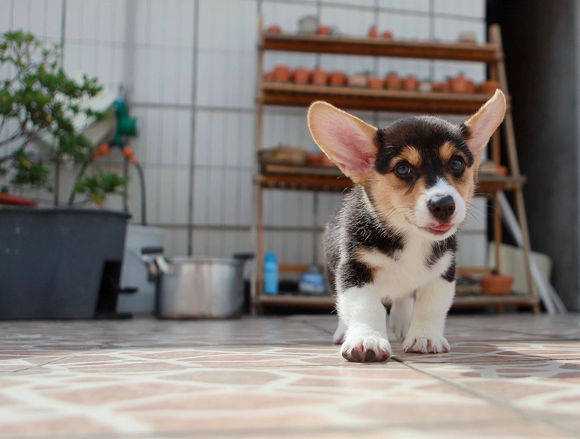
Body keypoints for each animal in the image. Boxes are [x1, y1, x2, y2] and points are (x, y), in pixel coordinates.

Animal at [306, 90, 506, 364]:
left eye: (457, 163)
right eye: (402, 168)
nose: (444, 205)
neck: (411, 237)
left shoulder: (443, 271)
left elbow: (430, 307)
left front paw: (425, 338)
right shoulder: (355, 269)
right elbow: (365, 307)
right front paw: (366, 340)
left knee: (403, 297)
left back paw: (402, 324)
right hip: (332, 272)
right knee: (343, 306)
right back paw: (343, 331)